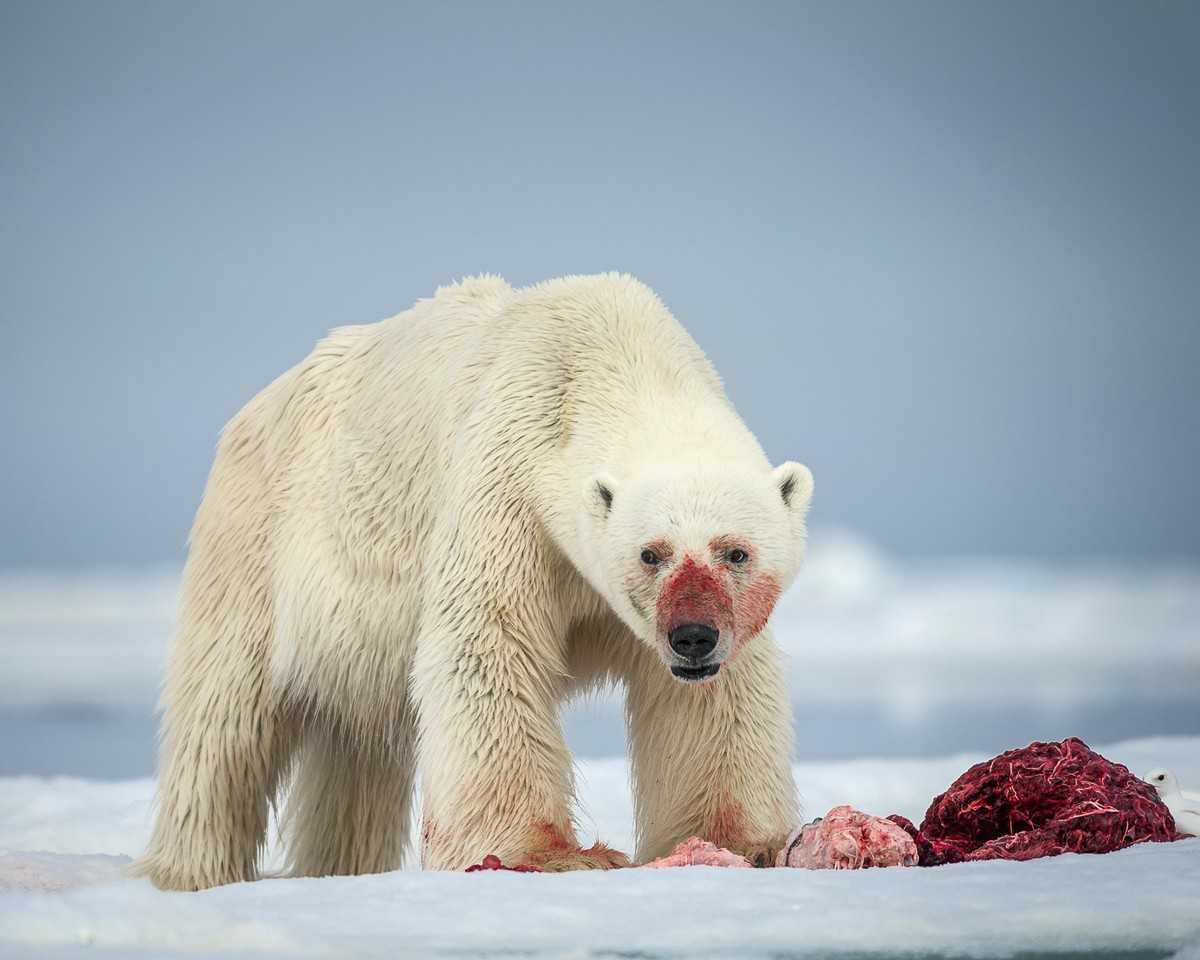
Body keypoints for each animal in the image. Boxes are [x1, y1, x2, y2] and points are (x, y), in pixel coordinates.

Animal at [134, 273, 813, 890]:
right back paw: (193, 869)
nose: (692, 637)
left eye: (735, 552)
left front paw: (738, 845)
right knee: (223, 714)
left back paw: (341, 866)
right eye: (652, 553)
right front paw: (551, 855)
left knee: (357, 744)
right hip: (258, 537)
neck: (609, 351)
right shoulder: (507, 484)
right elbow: (487, 645)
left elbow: (714, 701)